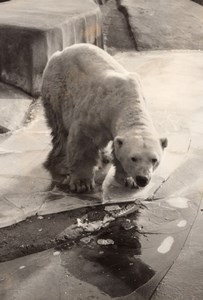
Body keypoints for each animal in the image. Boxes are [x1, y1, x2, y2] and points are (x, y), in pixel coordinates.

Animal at [42, 42, 167, 192]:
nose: (142, 179)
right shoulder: (95, 112)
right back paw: (62, 165)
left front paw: (129, 180)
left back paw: (105, 157)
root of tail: (60, 52)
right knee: (60, 131)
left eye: (154, 159)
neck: (126, 101)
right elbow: (83, 143)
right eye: (133, 158)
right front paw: (82, 183)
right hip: (57, 92)